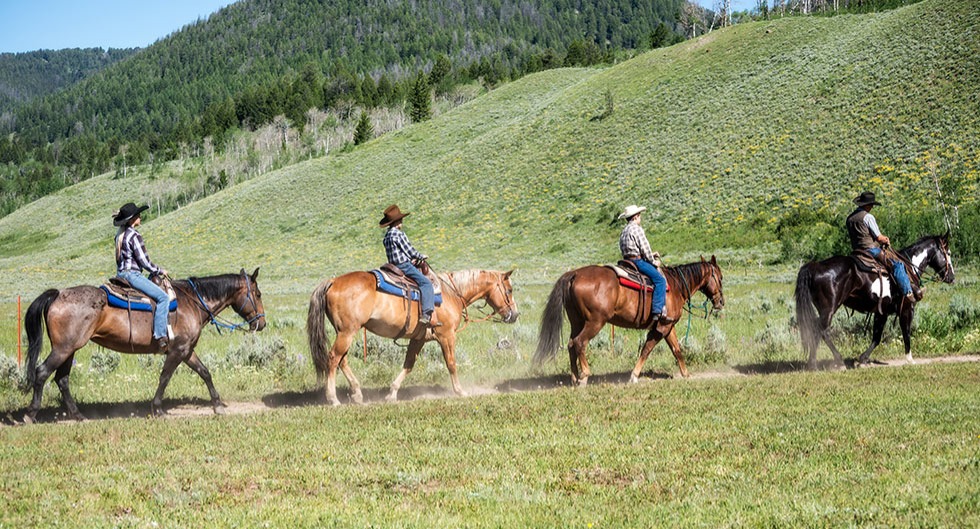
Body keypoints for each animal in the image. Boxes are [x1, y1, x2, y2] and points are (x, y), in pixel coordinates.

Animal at [23, 268, 266, 420]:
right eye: (257, 294)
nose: (262, 323)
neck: (192, 302)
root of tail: (58, 295)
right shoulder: (177, 351)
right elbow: (165, 377)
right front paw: (157, 408)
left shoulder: (187, 351)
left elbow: (205, 372)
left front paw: (218, 405)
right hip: (63, 349)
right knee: (42, 372)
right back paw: (30, 415)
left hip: (70, 350)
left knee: (62, 380)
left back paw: (78, 415)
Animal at [308, 268, 520, 404]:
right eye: (509, 290)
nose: (515, 315)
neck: (451, 294)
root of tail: (333, 281)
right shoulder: (447, 336)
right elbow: (451, 363)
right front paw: (460, 391)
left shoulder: (418, 339)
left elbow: (409, 364)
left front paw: (392, 393)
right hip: (347, 332)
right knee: (334, 358)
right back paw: (333, 398)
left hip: (344, 332)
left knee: (341, 360)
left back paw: (358, 394)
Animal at [532, 256, 724, 384]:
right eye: (720, 277)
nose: (721, 302)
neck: (676, 286)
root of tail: (574, 274)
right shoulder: (661, 327)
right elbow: (646, 350)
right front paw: (634, 376)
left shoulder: (668, 326)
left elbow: (677, 350)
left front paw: (686, 374)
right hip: (595, 322)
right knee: (579, 342)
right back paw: (585, 376)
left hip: (577, 321)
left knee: (571, 344)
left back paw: (574, 378)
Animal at [796, 233, 956, 370]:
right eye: (948, 253)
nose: (952, 277)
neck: (909, 266)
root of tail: (815, 266)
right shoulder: (907, 309)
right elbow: (906, 332)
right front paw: (910, 359)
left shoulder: (881, 312)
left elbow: (876, 337)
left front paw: (862, 359)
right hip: (829, 309)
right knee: (821, 331)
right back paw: (836, 361)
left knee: (816, 331)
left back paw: (813, 364)